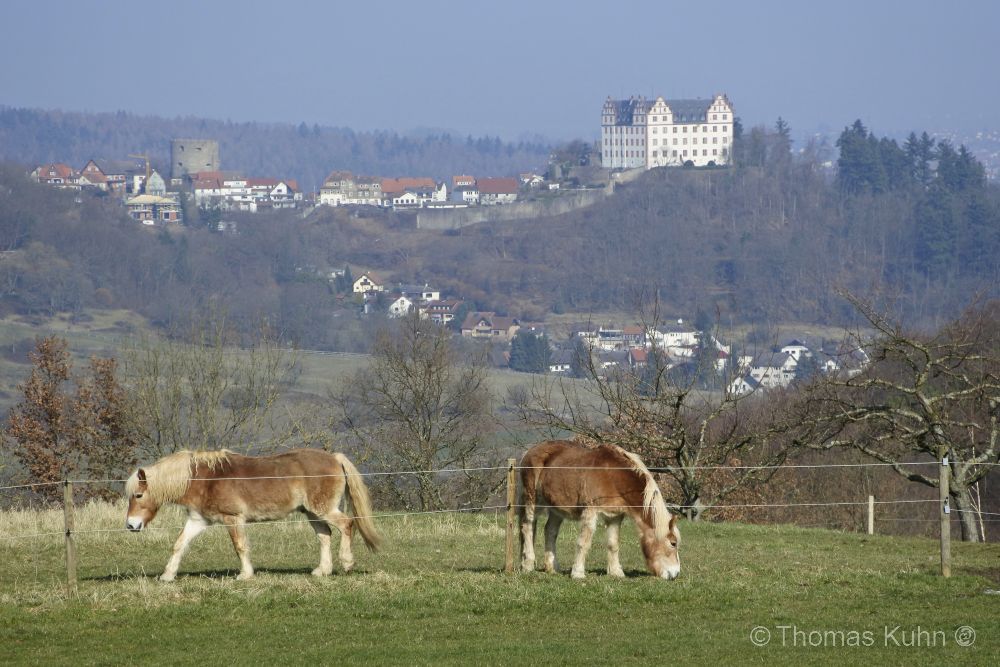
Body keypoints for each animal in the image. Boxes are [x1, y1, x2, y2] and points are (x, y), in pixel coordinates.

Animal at [122, 452, 378, 580]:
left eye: (138, 495)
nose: (131, 525)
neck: (205, 479)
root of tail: (335, 457)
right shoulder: (198, 521)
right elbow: (179, 545)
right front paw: (167, 575)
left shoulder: (232, 518)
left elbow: (240, 547)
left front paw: (245, 575)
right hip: (312, 513)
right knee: (325, 535)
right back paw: (322, 571)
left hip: (323, 509)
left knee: (347, 524)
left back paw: (347, 562)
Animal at [520, 438, 676, 580]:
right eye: (673, 543)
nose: (674, 574)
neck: (612, 475)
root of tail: (530, 450)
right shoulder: (590, 512)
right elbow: (583, 543)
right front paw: (578, 573)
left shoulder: (615, 516)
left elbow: (613, 543)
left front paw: (616, 572)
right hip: (533, 499)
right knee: (528, 526)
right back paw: (528, 565)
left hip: (556, 508)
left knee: (550, 531)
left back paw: (552, 568)